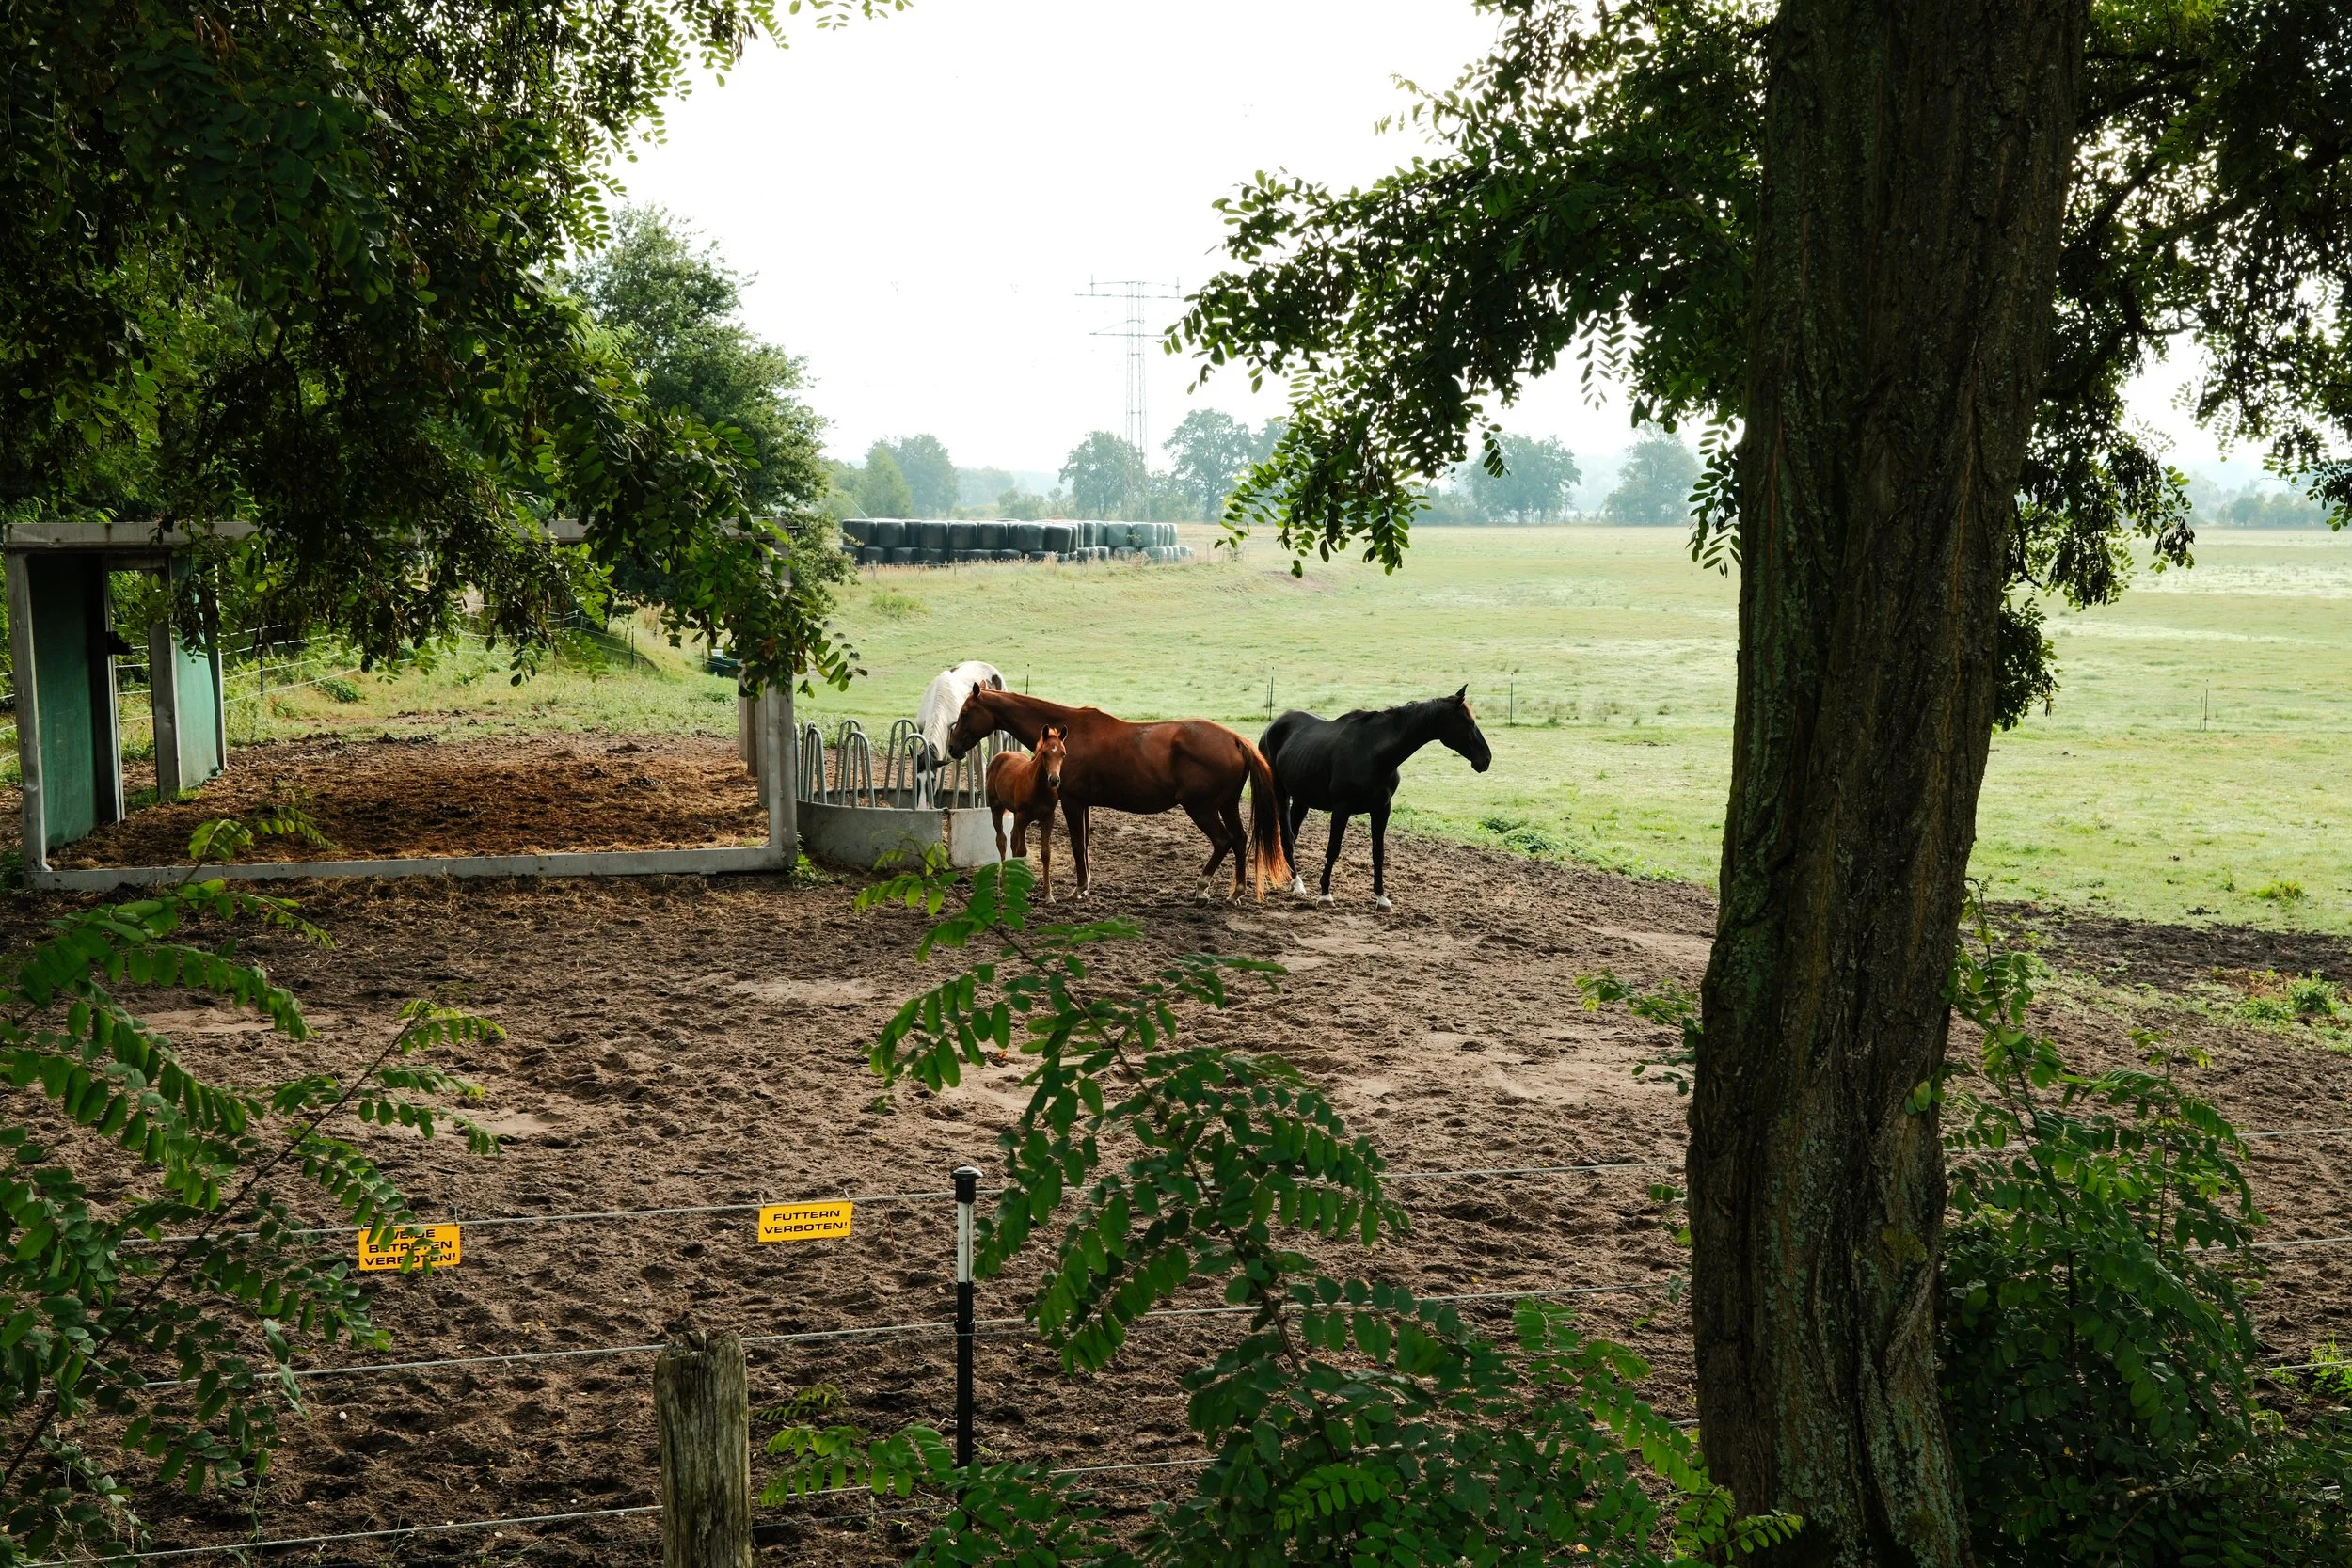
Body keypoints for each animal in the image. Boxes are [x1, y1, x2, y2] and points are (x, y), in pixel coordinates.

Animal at [986, 723, 1067, 900]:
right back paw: (1003, 882)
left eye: (1063, 754)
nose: (1054, 780)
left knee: (1012, 839)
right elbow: (1021, 850)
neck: (1039, 788)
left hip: (1015, 814)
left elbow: (1046, 853)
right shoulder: (1023, 817)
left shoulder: (1048, 818)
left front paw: (1048, 894)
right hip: (996, 808)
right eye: (1044, 753)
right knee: (1002, 840)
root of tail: (1001, 755)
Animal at [1260, 687, 1492, 909]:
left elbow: (1378, 852)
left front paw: (1381, 898)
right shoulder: (1341, 808)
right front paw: (1325, 894)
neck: (1374, 753)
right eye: (1469, 722)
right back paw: (1297, 883)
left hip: (1302, 800)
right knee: (1286, 835)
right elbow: (1333, 848)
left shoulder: (1382, 809)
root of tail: (1273, 725)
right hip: (1280, 793)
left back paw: (1293, 880)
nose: (1486, 759)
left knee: (1291, 834)